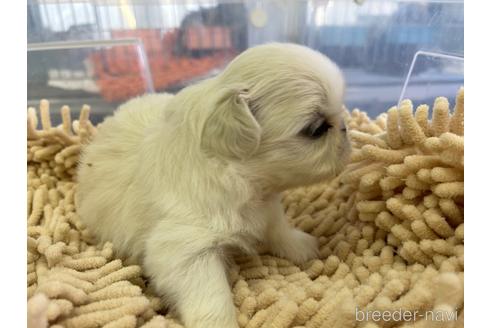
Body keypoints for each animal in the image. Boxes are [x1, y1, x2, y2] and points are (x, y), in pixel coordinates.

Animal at [77, 43, 350, 328]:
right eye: (317, 129)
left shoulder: (268, 205)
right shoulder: (185, 251)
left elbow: (278, 228)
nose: (345, 127)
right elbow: (211, 294)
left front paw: (301, 246)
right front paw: (220, 322)